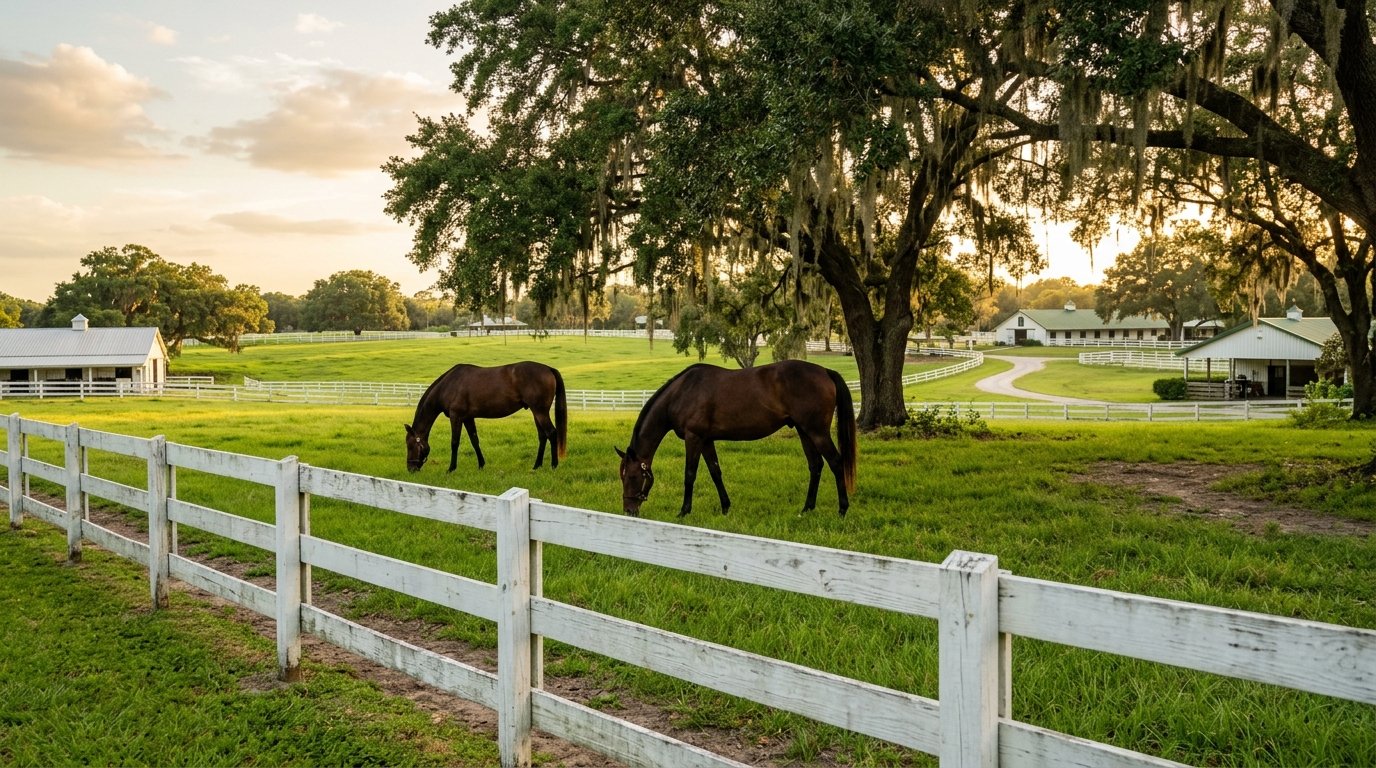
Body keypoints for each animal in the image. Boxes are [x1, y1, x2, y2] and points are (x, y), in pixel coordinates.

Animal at [405, 361, 567, 472]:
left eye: (410, 445)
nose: (411, 469)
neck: (449, 385)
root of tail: (548, 369)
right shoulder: (467, 418)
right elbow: (474, 440)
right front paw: (481, 465)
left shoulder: (456, 416)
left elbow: (454, 442)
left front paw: (451, 468)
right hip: (536, 412)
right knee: (542, 436)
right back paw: (537, 465)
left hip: (540, 412)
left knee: (552, 433)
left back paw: (554, 465)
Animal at [615, 360, 856, 518]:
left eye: (633, 477)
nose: (629, 511)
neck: (682, 392)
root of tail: (825, 371)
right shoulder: (706, 440)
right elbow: (715, 472)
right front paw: (725, 507)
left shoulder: (693, 438)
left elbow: (690, 475)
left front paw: (684, 511)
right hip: (804, 431)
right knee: (815, 465)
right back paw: (806, 509)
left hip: (817, 432)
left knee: (836, 462)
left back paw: (842, 510)